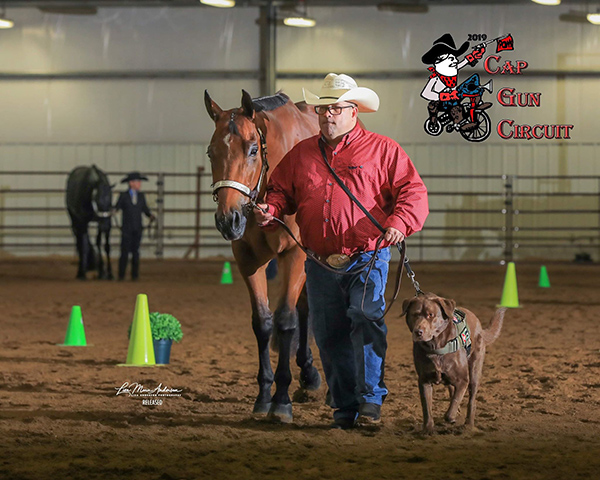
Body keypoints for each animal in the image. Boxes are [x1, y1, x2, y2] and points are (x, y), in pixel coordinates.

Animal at [203, 90, 324, 424]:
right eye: (210, 153)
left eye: (253, 149)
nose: (227, 220)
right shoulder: (247, 259)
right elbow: (263, 322)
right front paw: (263, 397)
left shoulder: (294, 255)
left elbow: (285, 320)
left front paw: (281, 401)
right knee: (306, 308)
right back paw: (309, 376)